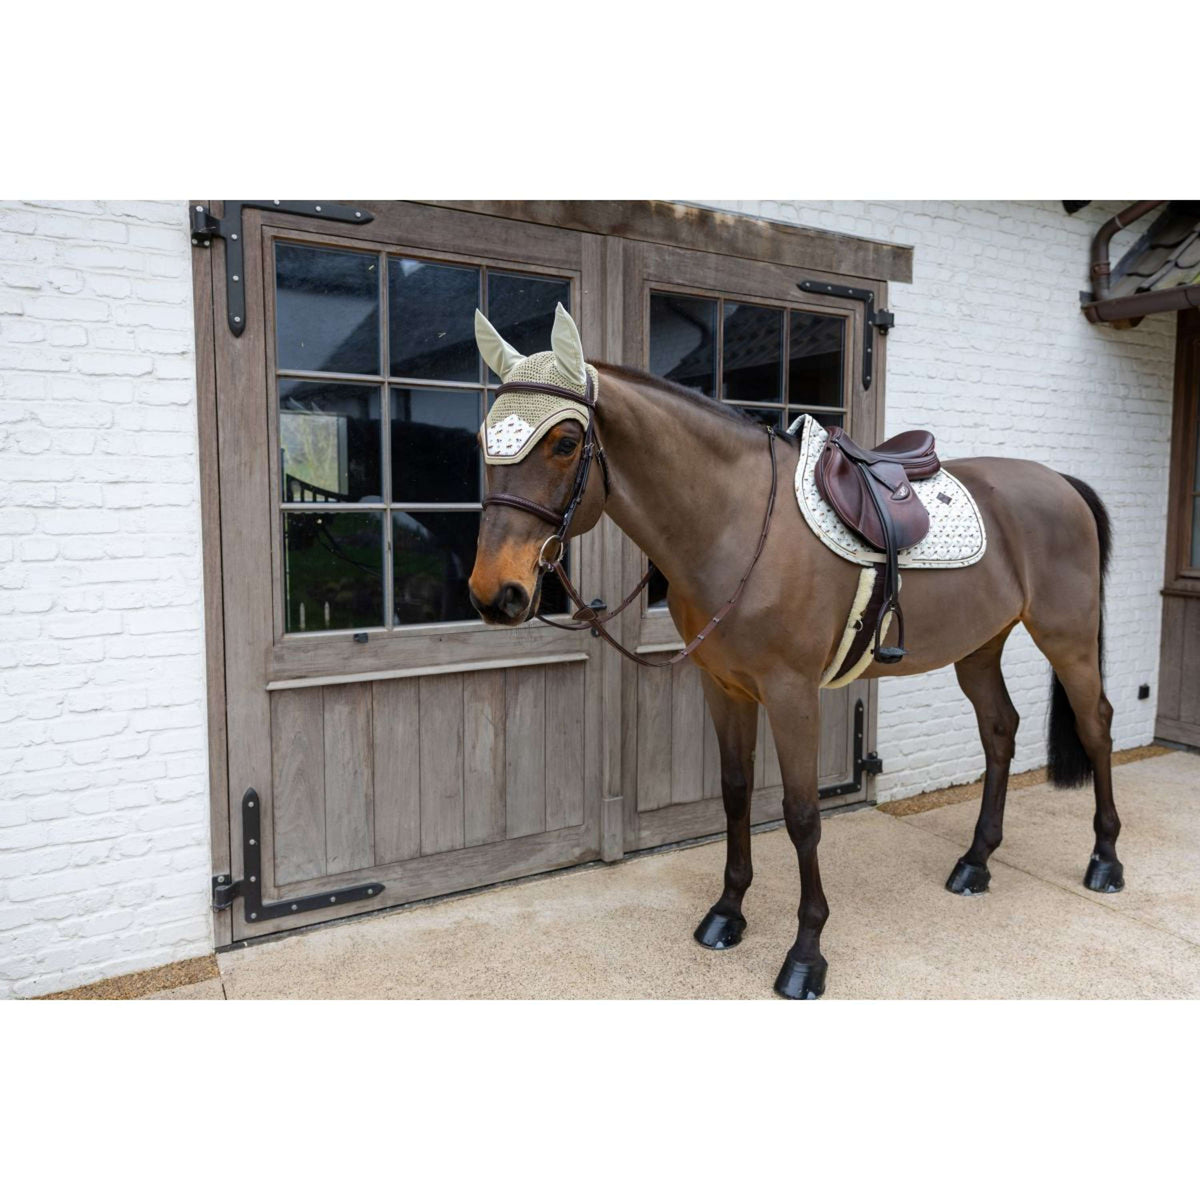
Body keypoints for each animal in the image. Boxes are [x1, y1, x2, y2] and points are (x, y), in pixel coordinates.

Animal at [468, 304, 1119, 999]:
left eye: (565, 443)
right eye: (483, 440)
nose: (495, 593)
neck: (735, 520)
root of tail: (1061, 482)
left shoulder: (791, 694)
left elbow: (802, 814)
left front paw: (806, 955)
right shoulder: (723, 686)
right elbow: (734, 793)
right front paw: (727, 914)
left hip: (1068, 639)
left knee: (1097, 725)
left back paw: (1105, 860)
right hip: (978, 647)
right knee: (1000, 730)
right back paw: (975, 862)